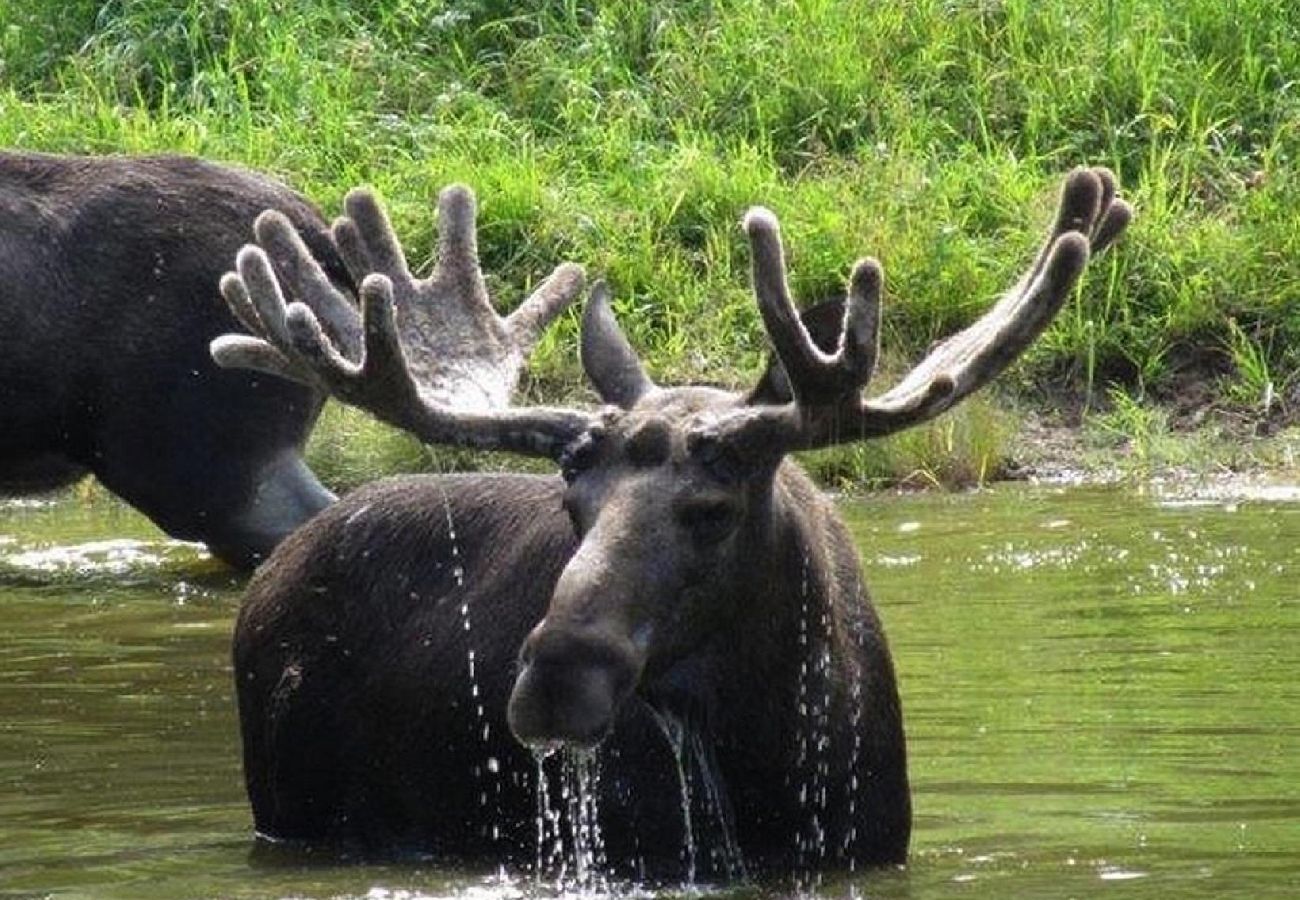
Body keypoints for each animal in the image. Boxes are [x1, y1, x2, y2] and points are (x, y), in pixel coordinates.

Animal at [210, 165, 1128, 873]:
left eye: (713, 509)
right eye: (571, 499)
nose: (557, 679)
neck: (768, 760)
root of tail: (277, 564)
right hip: (293, 808)